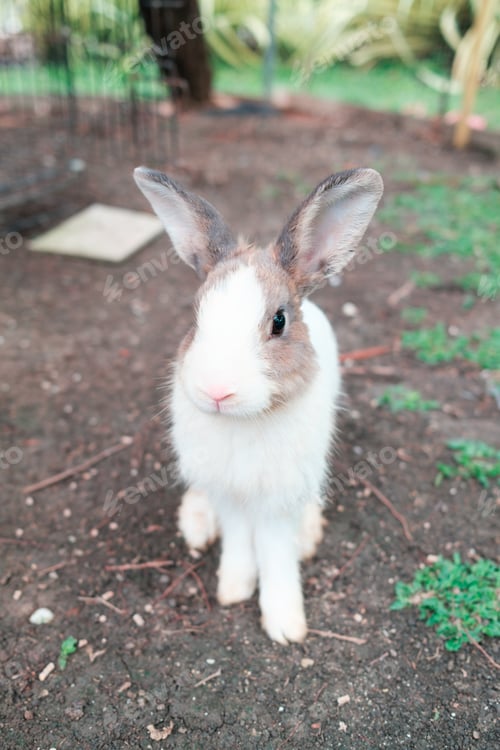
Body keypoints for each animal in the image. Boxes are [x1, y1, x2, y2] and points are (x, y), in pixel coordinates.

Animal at [134, 166, 383, 644]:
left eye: (279, 322)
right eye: (195, 318)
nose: (217, 391)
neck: (243, 421)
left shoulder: (277, 501)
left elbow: (275, 553)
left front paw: (285, 624)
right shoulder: (228, 494)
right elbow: (238, 541)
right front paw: (234, 588)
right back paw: (197, 523)